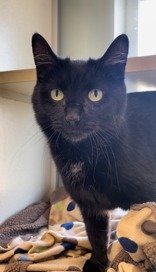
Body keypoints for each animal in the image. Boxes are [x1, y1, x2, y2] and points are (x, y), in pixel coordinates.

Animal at [31, 34, 156, 272]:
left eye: (95, 95)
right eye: (57, 94)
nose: (72, 117)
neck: (83, 154)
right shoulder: (89, 206)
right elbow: (96, 235)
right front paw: (98, 263)